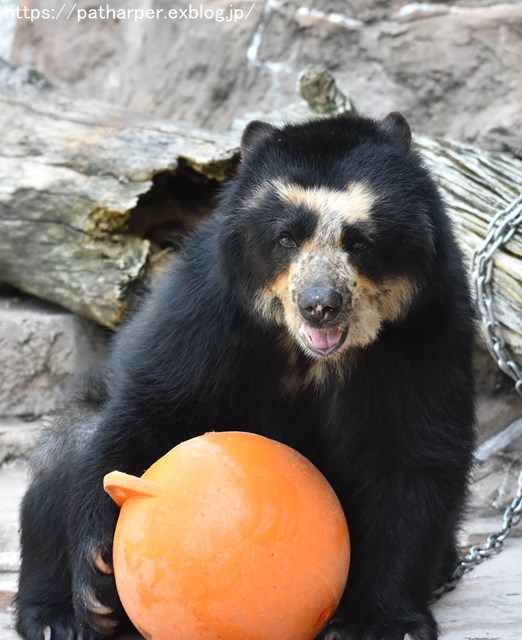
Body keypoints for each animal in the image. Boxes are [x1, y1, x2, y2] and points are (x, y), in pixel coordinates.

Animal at [16, 112, 474, 640]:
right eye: (286, 238)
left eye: (359, 241)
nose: (320, 305)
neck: (310, 355)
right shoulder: (207, 308)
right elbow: (154, 405)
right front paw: (97, 577)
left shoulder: (427, 327)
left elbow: (414, 452)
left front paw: (380, 621)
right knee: (68, 447)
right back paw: (53, 617)